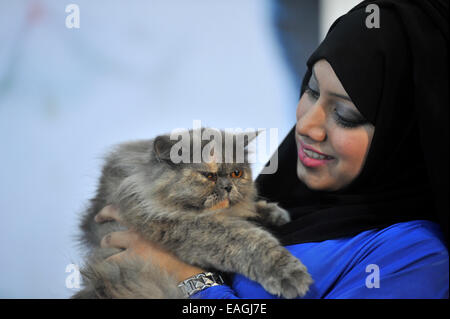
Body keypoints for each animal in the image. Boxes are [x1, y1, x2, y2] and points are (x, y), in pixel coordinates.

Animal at [74, 128, 312, 300]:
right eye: (209, 176)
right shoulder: (189, 227)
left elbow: (252, 209)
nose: (228, 187)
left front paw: (276, 214)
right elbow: (251, 241)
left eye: (236, 173)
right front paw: (290, 274)